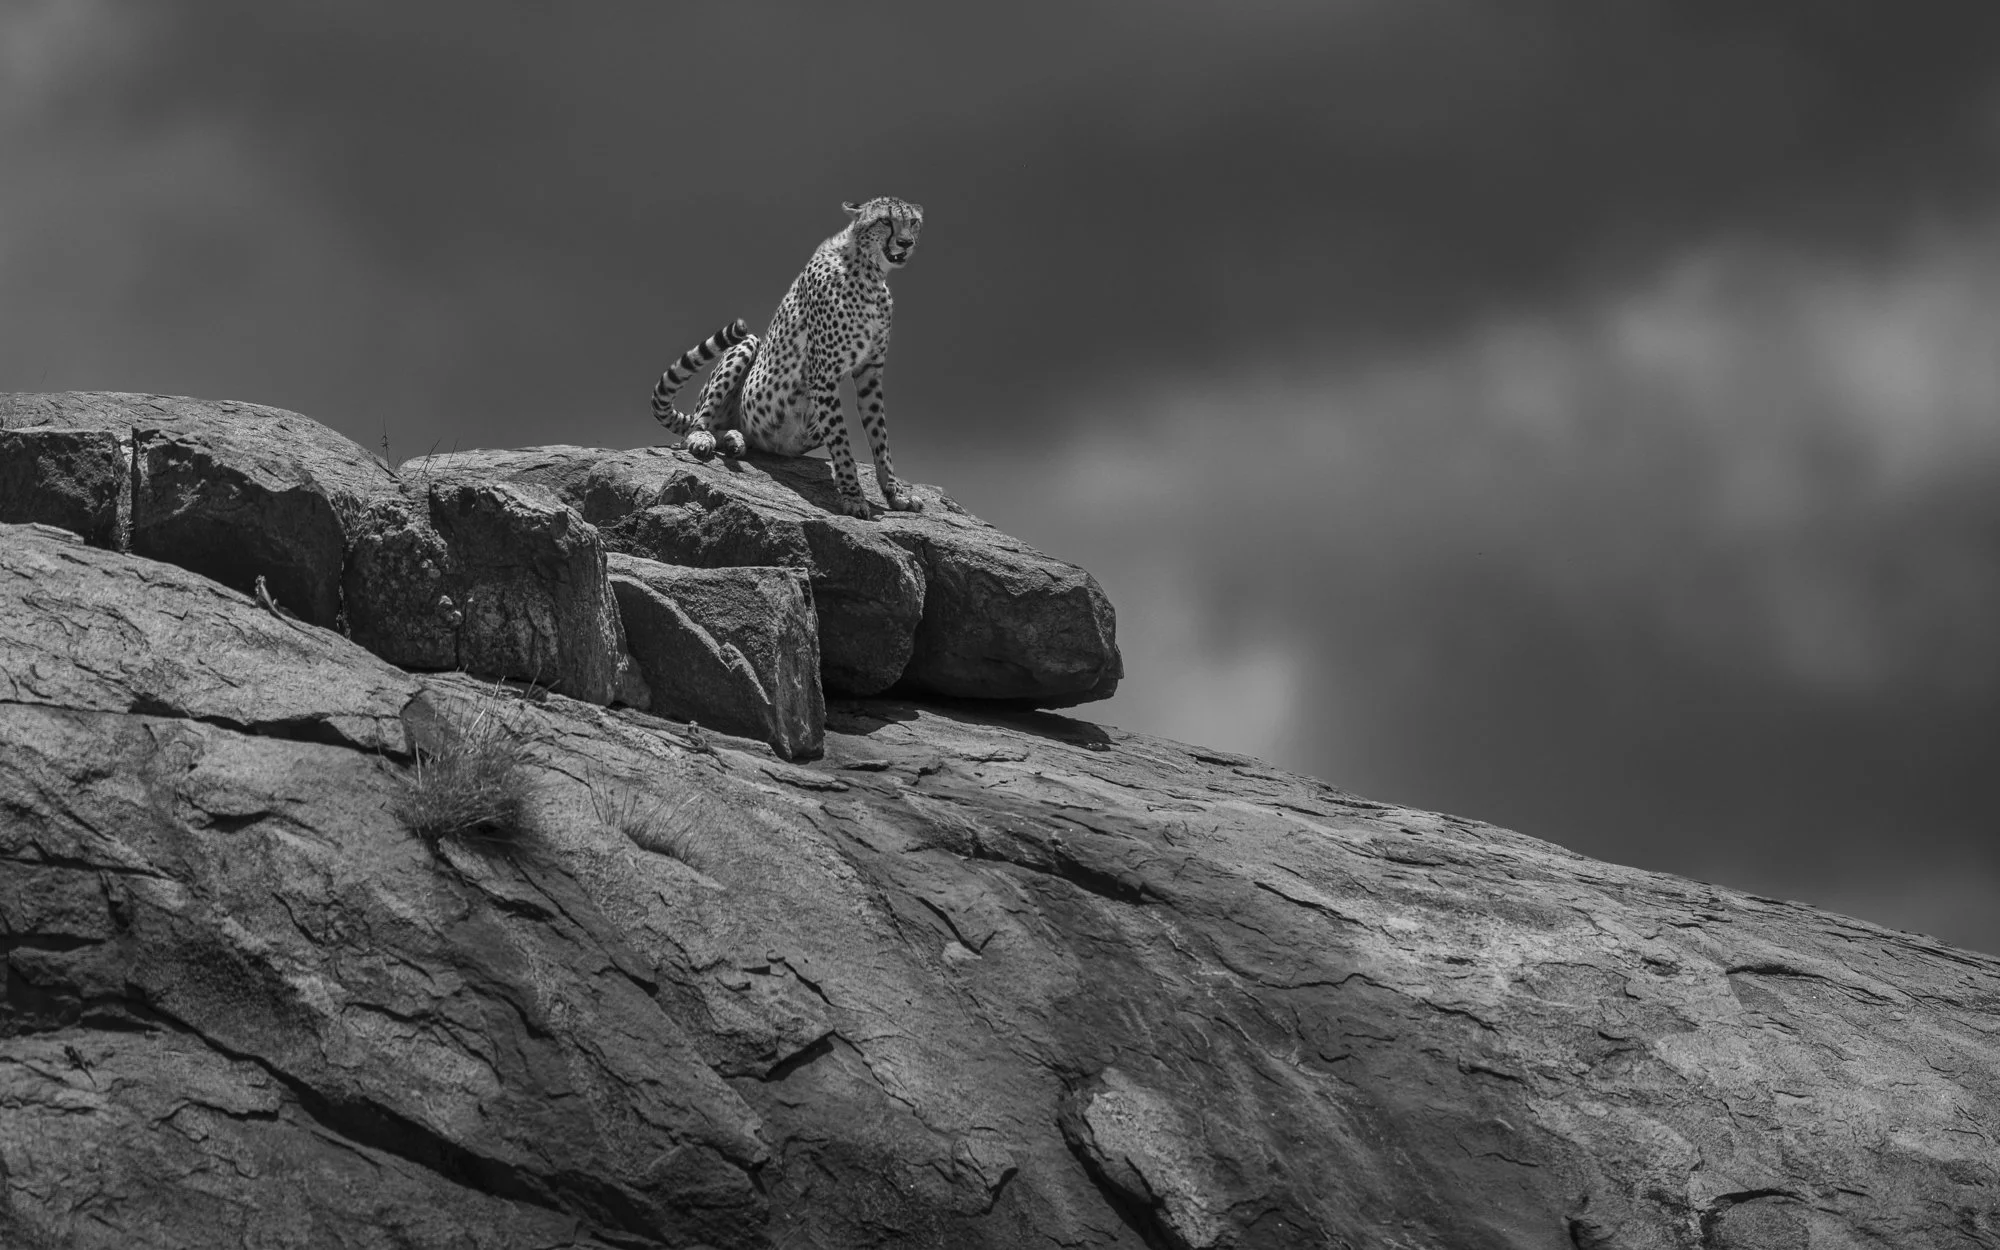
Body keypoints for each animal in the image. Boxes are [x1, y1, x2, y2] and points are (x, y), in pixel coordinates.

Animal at [651, 196, 926, 519]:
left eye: (913, 222)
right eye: (885, 221)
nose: (906, 242)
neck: (869, 271)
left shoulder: (870, 373)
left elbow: (880, 438)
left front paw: (895, 495)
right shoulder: (824, 375)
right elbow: (842, 443)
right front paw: (853, 497)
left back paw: (734, 439)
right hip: (746, 343)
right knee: (696, 427)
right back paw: (704, 437)